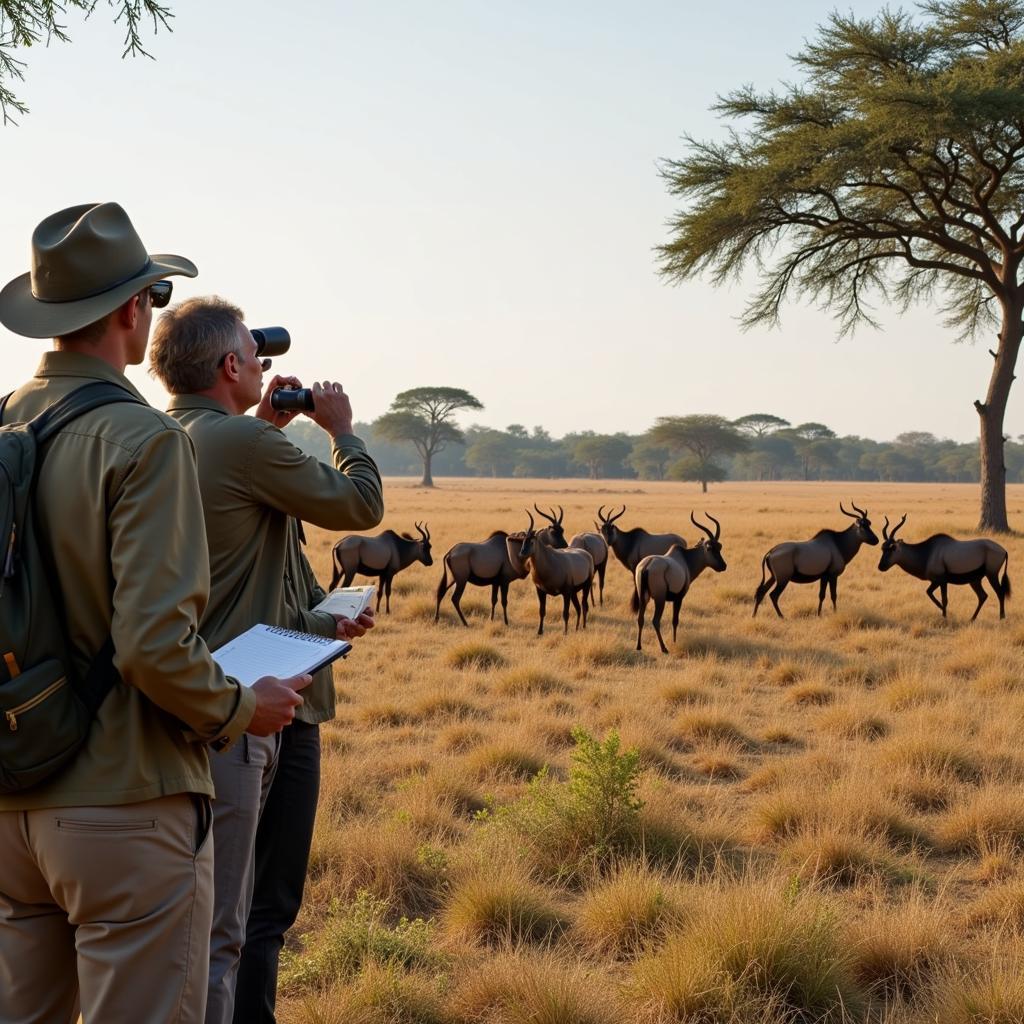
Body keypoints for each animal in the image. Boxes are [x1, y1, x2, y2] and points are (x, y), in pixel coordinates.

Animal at [630, 512, 729, 655]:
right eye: (710, 548)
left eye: (720, 546)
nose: (723, 566)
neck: (685, 559)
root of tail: (646, 567)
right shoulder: (679, 598)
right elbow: (675, 620)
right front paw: (674, 642)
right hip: (659, 599)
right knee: (655, 620)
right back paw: (664, 648)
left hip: (644, 598)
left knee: (640, 618)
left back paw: (638, 646)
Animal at [876, 516, 1011, 618]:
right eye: (882, 548)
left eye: (892, 548)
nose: (881, 567)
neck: (928, 552)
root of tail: (1004, 551)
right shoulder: (936, 581)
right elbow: (930, 593)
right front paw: (946, 613)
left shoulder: (941, 581)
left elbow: (944, 599)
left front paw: (946, 615)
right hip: (975, 580)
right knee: (983, 596)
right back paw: (972, 619)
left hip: (991, 574)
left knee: (999, 592)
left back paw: (1001, 617)